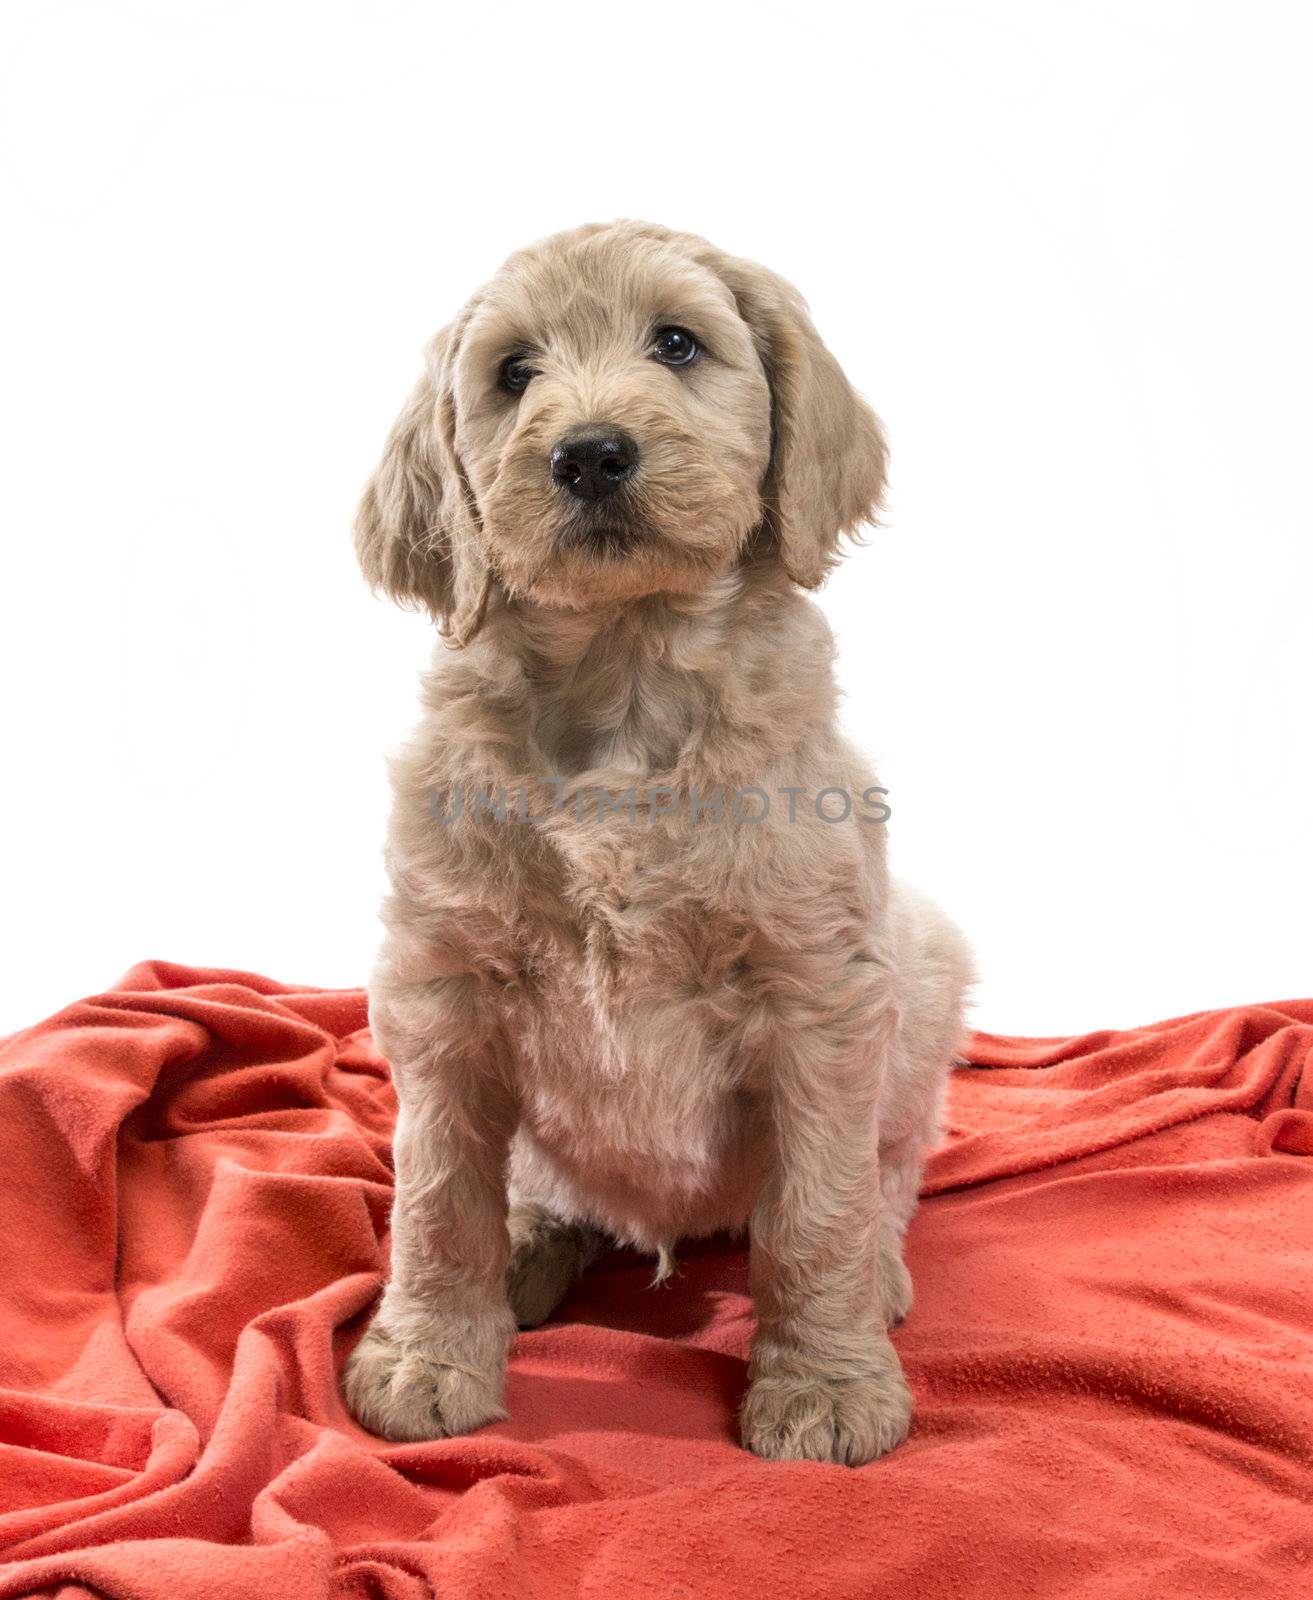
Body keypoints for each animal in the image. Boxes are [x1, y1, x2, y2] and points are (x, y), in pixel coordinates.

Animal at [343, 222, 965, 1465]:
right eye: (513, 373)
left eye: (676, 343)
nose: (588, 454)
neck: (624, 673)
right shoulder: (441, 985)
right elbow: (437, 1196)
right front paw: (428, 1354)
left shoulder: (819, 988)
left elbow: (815, 1208)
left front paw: (824, 1386)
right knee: (533, 1186)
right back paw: (532, 1240)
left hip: (926, 966)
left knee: (885, 1170)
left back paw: (877, 1271)